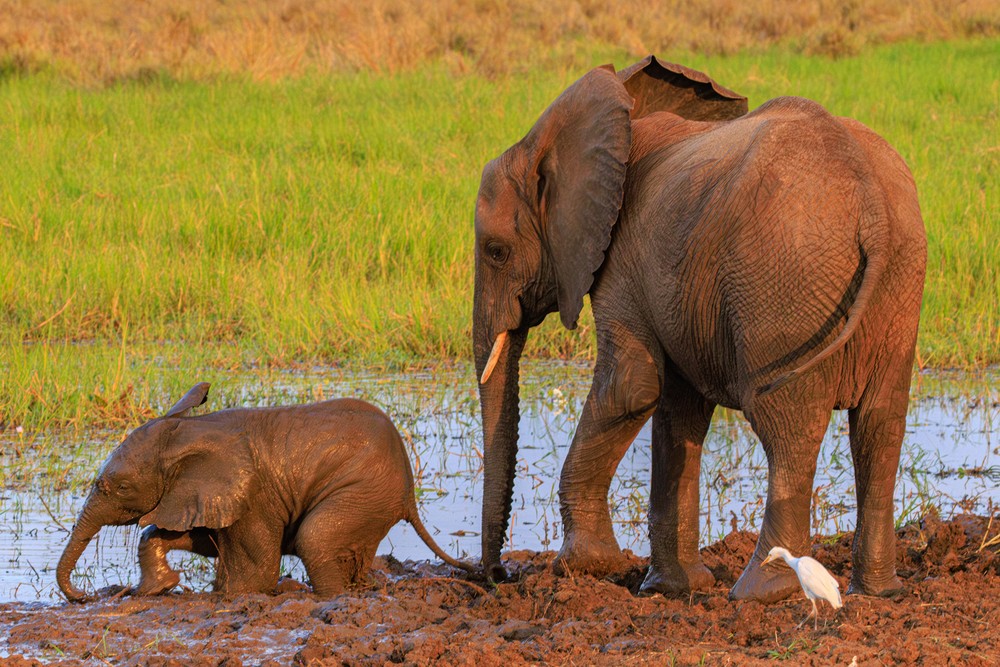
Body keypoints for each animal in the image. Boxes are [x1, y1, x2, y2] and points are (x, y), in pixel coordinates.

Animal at [57, 383, 472, 601]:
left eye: (119, 487)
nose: (89, 596)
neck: (186, 432)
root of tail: (409, 495)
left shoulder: (253, 495)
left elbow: (254, 574)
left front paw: (228, 599)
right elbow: (199, 539)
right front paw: (157, 589)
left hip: (363, 489)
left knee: (315, 538)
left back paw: (330, 600)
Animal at [473, 55, 926, 602]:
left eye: (496, 251)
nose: (497, 576)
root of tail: (873, 205)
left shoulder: (619, 260)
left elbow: (631, 388)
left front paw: (585, 567)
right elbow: (676, 408)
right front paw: (670, 588)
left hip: (783, 288)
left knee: (787, 430)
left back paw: (760, 593)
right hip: (899, 279)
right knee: (880, 424)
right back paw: (878, 591)